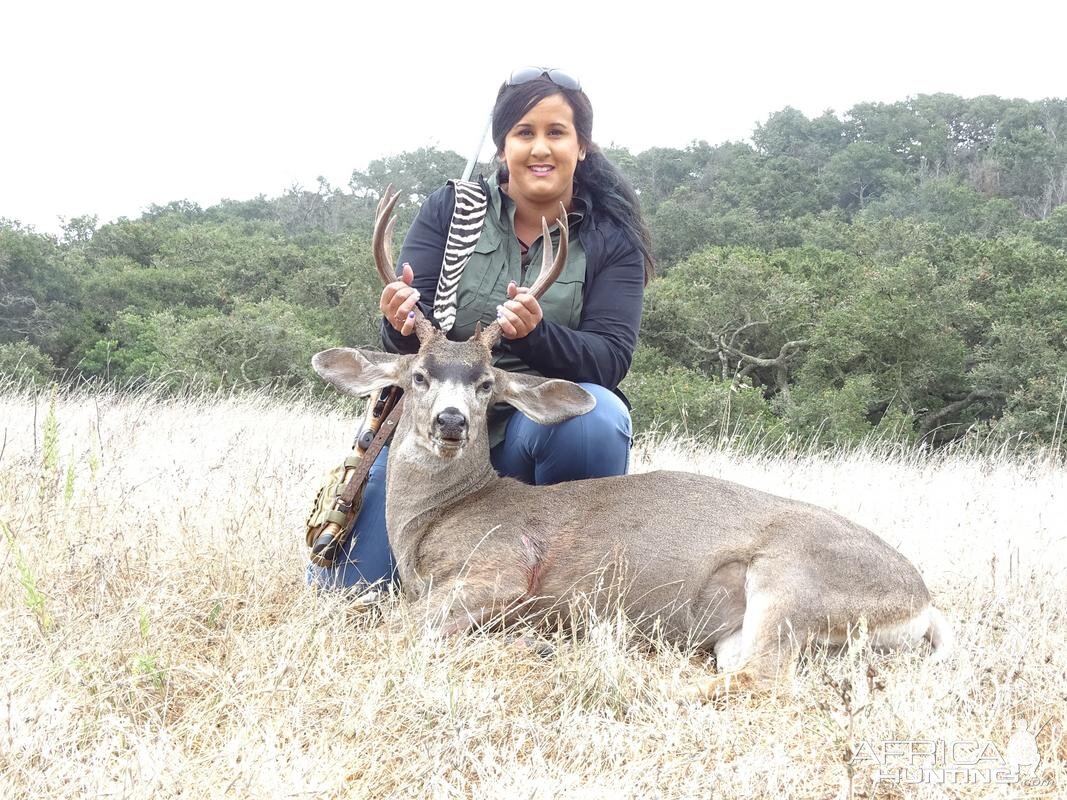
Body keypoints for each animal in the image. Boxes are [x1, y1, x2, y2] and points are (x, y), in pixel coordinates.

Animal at [309, 190, 951, 699]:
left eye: (487, 383)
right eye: (418, 375)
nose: (451, 421)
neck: (436, 519)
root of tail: (923, 602)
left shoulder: (502, 569)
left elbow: (395, 623)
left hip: (794, 580)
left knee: (764, 678)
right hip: (754, 628)